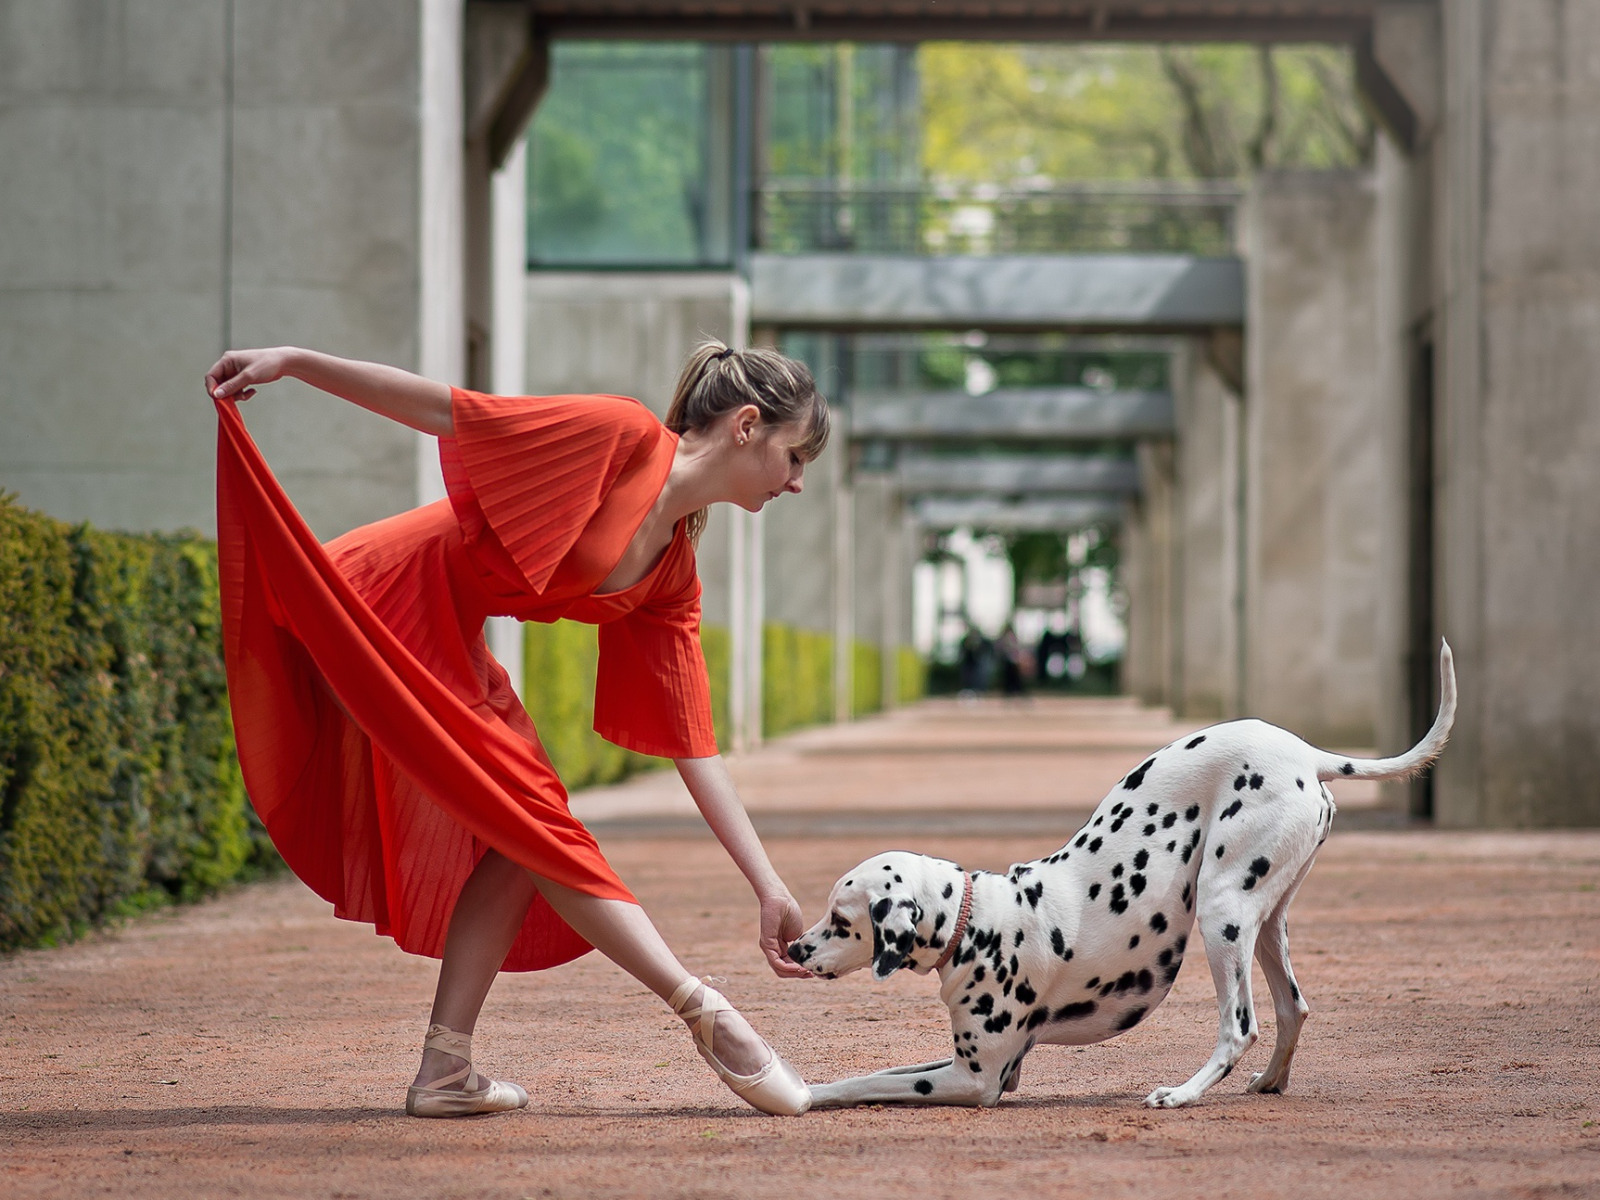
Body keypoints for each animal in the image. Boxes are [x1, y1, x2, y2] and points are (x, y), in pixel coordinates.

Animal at [787, 649, 1452, 1107]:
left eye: (841, 920)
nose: (794, 948)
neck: (977, 923)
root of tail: (1308, 753)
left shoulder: (975, 1079)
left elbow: (863, 1083)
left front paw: (808, 1095)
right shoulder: (966, 1066)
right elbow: (876, 1072)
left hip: (1222, 916)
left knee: (1240, 1026)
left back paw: (1183, 1095)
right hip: (1265, 925)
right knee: (1293, 1009)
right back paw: (1269, 1081)